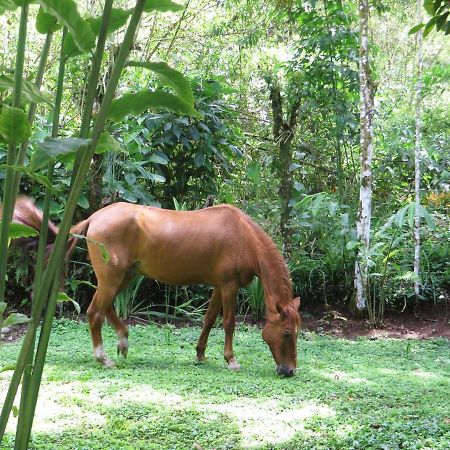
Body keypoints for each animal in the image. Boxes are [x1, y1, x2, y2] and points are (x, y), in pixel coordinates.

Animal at [10, 199, 300, 378]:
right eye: (286, 333)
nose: (289, 371)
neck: (243, 237)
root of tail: (95, 218)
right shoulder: (229, 287)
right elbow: (229, 322)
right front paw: (231, 360)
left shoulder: (220, 286)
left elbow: (208, 320)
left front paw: (200, 354)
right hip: (112, 278)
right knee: (95, 313)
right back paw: (103, 358)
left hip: (124, 276)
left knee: (107, 308)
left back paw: (123, 340)